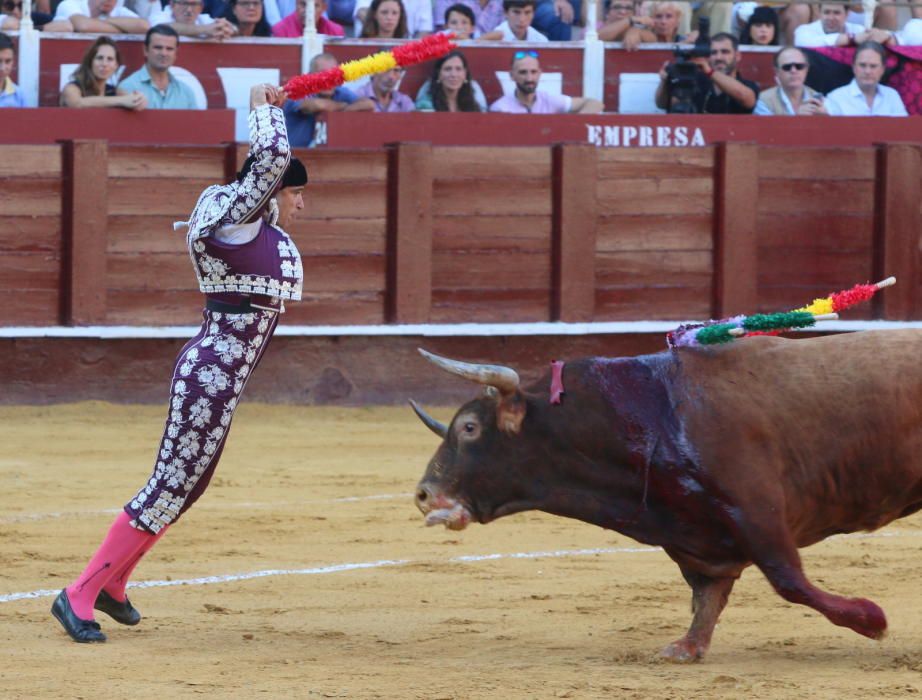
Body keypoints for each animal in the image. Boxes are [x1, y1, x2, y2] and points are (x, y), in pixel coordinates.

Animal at [410, 332, 920, 660]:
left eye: (469, 428)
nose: (424, 494)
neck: (650, 414)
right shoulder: (698, 536)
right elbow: (708, 594)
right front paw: (686, 648)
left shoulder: (758, 512)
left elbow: (788, 580)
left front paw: (872, 620)